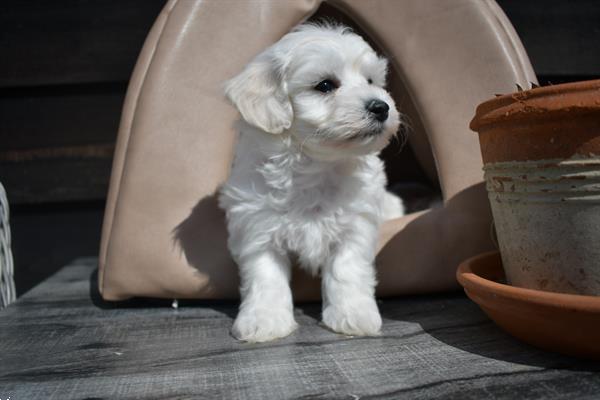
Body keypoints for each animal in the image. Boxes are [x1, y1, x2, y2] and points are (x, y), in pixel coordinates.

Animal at [219, 24, 404, 344]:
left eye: (370, 81)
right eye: (325, 85)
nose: (381, 107)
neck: (316, 167)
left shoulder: (355, 224)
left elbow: (347, 269)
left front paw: (353, 316)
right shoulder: (257, 224)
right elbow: (265, 275)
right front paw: (264, 321)